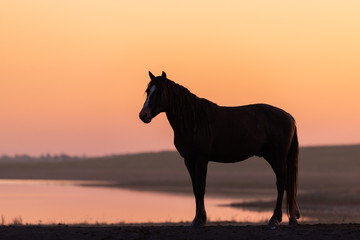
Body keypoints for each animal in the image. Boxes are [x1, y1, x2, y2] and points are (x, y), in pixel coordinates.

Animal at [139, 71, 300, 227]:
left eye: (159, 92)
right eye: (147, 91)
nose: (143, 115)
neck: (193, 120)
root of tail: (288, 116)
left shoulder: (201, 159)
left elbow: (200, 188)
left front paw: (199, 220)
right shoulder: (189, 160)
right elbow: (195, 188)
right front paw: (198, 218)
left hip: (277, 157)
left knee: (281, 182)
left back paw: (275, 218)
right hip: (272, 157)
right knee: (287, 183)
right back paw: (292, 218)